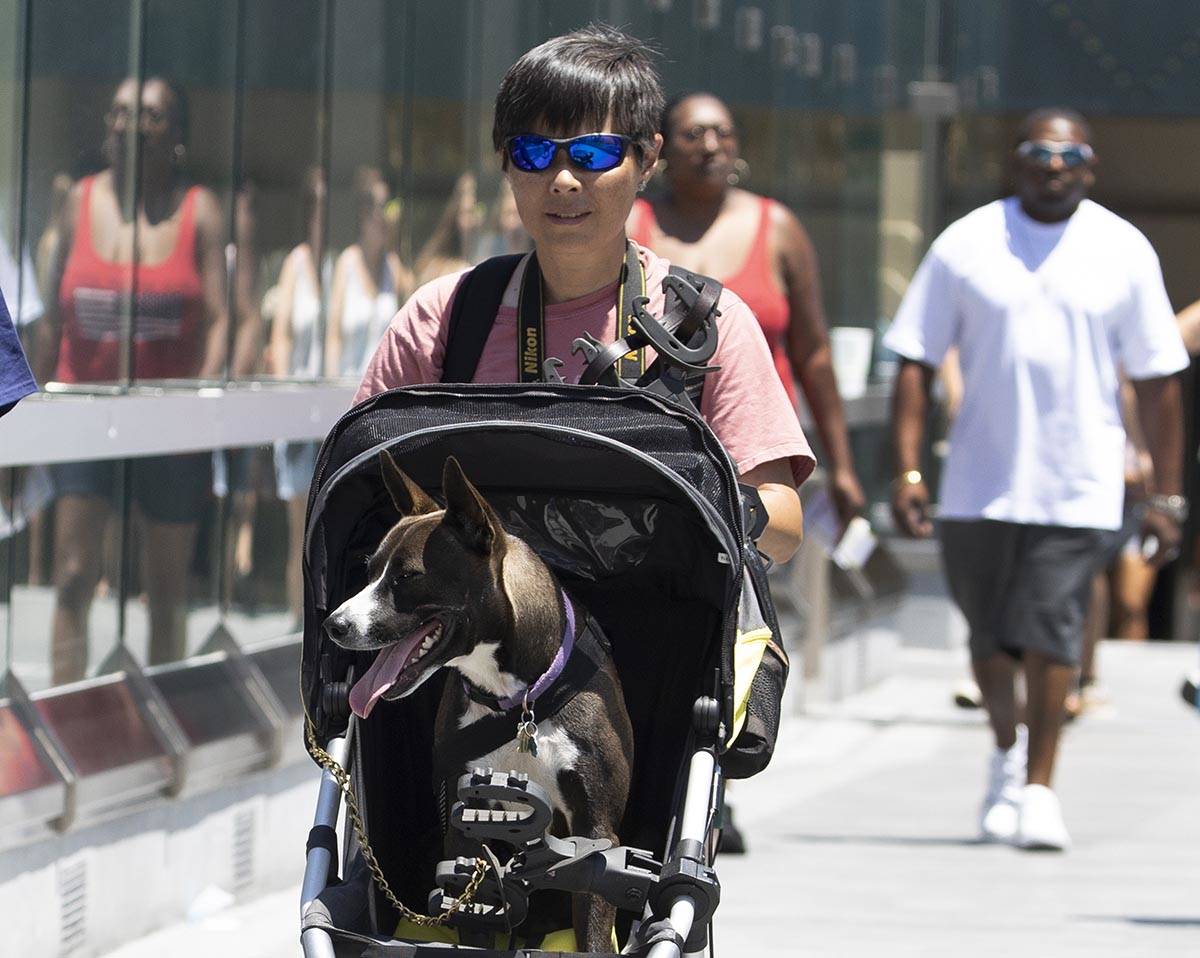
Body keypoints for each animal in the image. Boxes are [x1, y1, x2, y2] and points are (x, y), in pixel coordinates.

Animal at [324, 458, 633, 950]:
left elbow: (594, 928)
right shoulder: (465, 833)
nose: (334, 625)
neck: (517, 701)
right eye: (370, 571)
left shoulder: (597, 834)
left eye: (406, 577)